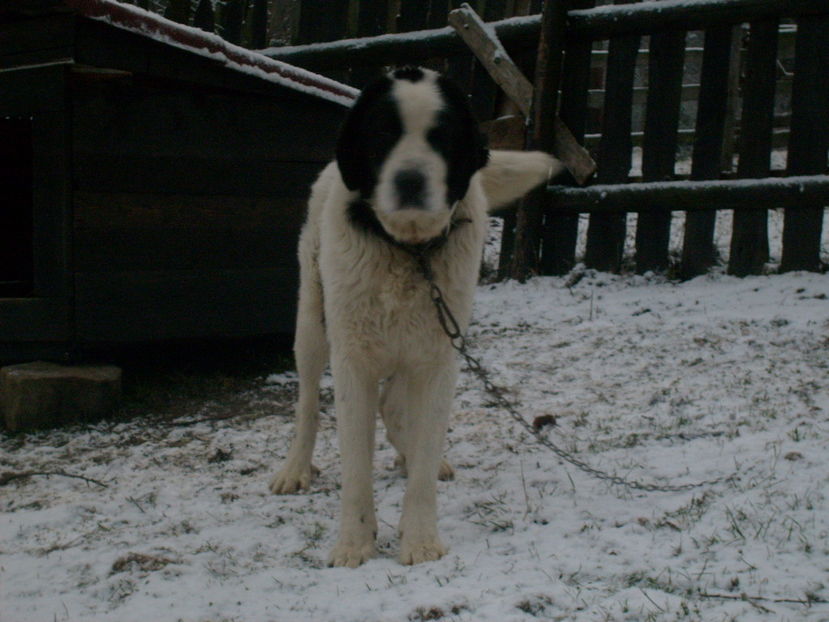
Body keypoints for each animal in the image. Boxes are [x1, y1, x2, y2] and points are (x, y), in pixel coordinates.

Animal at [272, 68, 564, 572]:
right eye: (383, 135)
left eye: (440, 136)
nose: (410, 178)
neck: (409, 251)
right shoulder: (353, 361)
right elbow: (355, 464)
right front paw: (354, 545)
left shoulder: (438, 357)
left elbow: (426, 453)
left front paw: (422, 540)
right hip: (312, 324)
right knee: (308, 403)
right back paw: (295, 468)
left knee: (395, 410)